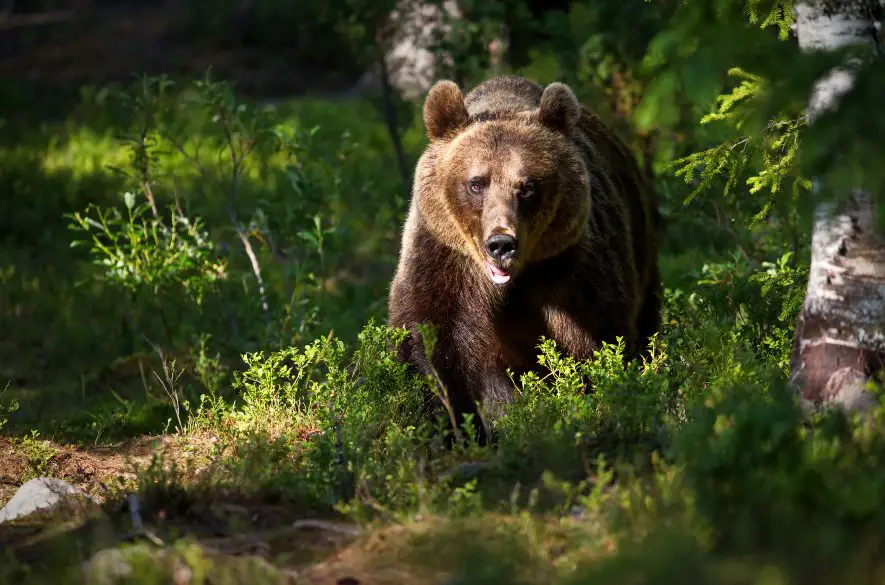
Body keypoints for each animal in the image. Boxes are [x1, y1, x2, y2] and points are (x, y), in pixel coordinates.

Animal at [386, 74, 656, 438]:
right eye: (476, 183)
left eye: (527, 186)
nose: (501, 243)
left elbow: (596, 338)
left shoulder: (572, 268)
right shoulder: (444, 257)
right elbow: (429, 340)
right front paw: (452, 425)